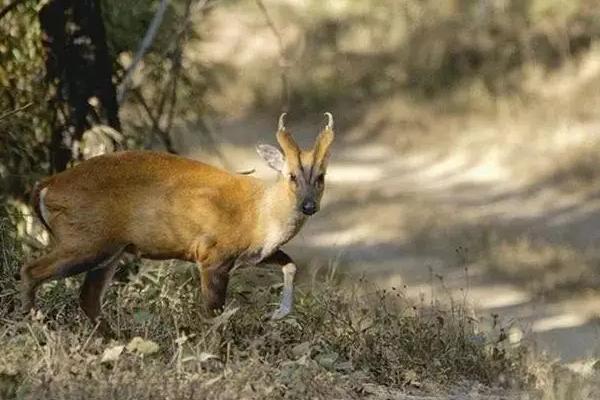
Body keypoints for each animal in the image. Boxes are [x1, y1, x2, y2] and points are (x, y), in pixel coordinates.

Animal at [18, 111, 336, 332]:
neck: (260, 214)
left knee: (88, 298)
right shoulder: (212, 254)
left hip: (109, 249)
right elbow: (213, 314)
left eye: (321, 177)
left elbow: (290, 264)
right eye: (292, 176)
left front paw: (278, 313)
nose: (309, 206)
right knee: (31, 270)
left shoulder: (252, 255)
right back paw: (35, 324)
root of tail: (45, 186)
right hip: (86, 239)